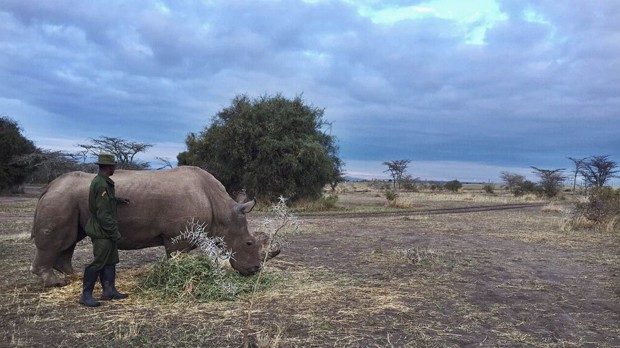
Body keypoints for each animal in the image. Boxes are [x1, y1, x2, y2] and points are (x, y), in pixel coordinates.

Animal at [31, 167, 264, 286]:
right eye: (249, 243)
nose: (255, 270)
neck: (223, 211)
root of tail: (49, 186)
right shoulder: (177, 236)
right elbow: (176, 258)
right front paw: (175, 277)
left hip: (68, 200)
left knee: (70, 239)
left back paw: (73, 276)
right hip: (61, 198)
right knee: (57, 241)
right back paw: (56, 283)